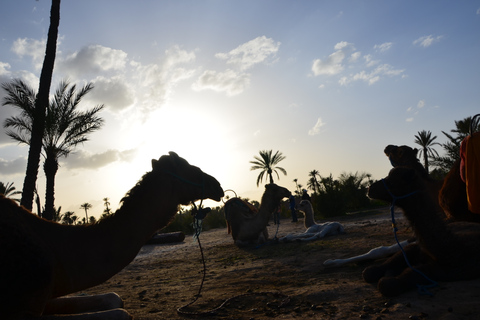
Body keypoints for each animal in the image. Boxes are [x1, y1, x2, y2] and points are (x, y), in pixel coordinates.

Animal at [362, 168, 480, 298]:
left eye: (392, 181)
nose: (370, 189)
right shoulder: (417, 248)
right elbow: (369, 271)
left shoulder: (446, 270)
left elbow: (389, 283)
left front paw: (389, 275)